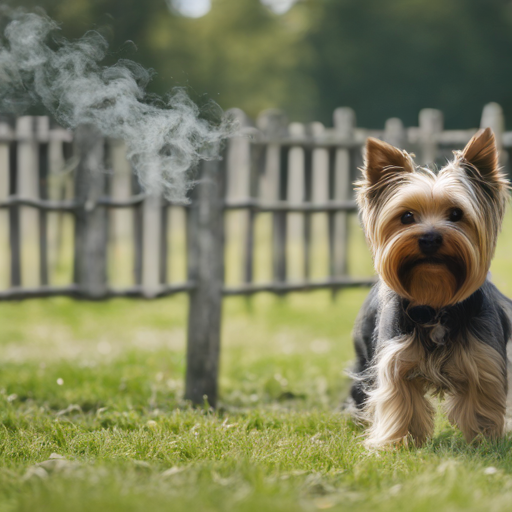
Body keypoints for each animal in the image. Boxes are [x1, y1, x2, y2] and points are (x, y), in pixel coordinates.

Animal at [348, 129, 512, 448]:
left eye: (456, 214)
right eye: (407, 217)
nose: (430, 238)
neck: (435, 297)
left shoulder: (484, 359)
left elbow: (481, 404)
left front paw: (484, 443)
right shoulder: (394, 360)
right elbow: (400, 402)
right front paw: (399, 443)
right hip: (364, 355)